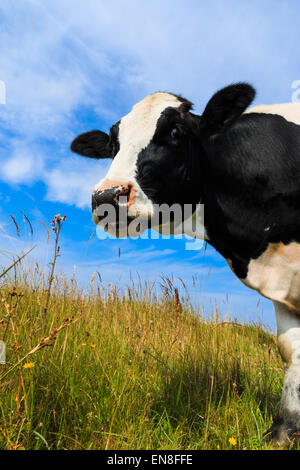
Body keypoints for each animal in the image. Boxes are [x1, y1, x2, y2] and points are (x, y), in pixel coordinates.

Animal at [71, 84, 300, 448]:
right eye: (112, 144)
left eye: (176, 132)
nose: (106, 197)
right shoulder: (282, 280)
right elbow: (290, 349)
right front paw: (283, 431)